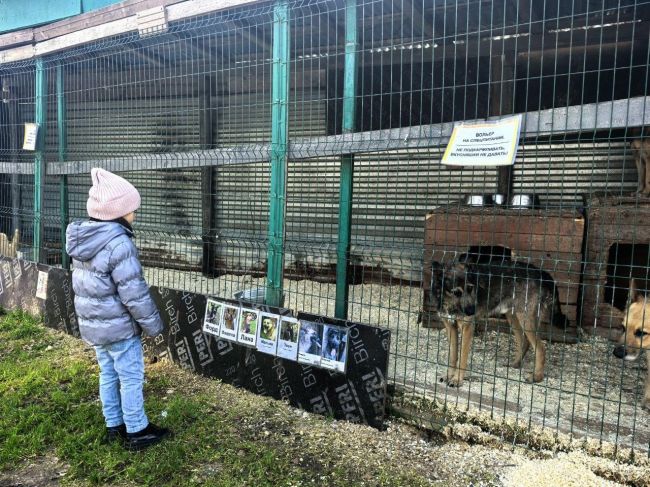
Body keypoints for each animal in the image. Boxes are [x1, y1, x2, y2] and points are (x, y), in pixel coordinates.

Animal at [432, 258, 580, 386]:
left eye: (470, 288)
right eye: (456, 292)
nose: (471, 311)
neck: (448, 300)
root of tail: (542, 273)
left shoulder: (467, 327)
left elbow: (461, 357)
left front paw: (457, 380)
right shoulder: (450, 327)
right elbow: (453, 356)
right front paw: (449, 375)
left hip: (525, 318)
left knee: (540, 347)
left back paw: (537, 377)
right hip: (513, 317)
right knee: (524, 341)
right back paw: (515, 364)